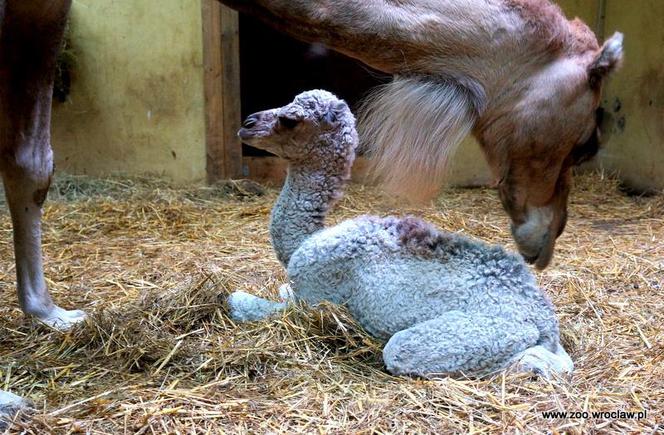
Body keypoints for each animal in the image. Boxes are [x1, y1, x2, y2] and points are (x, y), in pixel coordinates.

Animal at [228, 91, 572, 378]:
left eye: (290, 119)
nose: (247, 124)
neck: (307, 239)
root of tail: (545, 321)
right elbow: (282, 290)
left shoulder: (315, 295)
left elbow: (247, 303)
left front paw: (237, 300)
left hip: (487, 332)